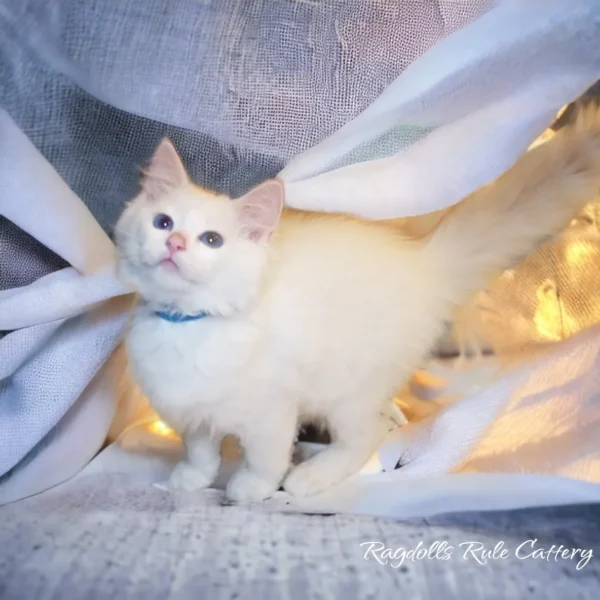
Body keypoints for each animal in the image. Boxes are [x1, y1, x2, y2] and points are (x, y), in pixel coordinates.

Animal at [115, 104, 600, 502]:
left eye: (212, 240)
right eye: (163, 222)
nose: (175, 243)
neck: (187, 324)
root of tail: (422, 260)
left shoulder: (271, 412)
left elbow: (265, 459)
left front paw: (250, 488)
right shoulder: (189, 412)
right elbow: (200, 451)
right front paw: (190, 479)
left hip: (347, 391)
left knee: (367, 436)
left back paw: (311, 476)